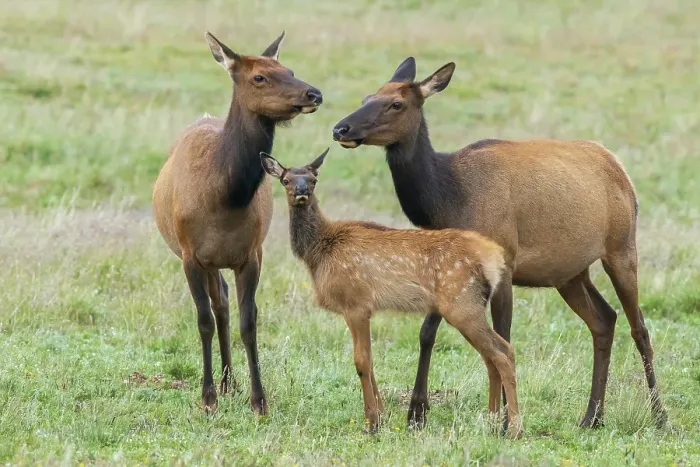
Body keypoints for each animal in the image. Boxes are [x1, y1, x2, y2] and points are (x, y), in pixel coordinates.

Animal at [152, 31, 323, 414]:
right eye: (259, 77)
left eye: (289, 69)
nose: (314, 94)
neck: (223, 199)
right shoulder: (190, 255)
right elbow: (202, 320)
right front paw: (207, 398)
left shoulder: (252, 254)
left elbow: (249, 321)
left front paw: (259, 400)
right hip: (202, 258)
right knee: (218, 306)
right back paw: (223, 384)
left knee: (225, 303)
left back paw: (231, 381)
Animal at [260, 148, 523, 437]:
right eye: (285, 180)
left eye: (313, 178)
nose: (302, 191)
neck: (319, 253)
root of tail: (493, 257)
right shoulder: (359, 309)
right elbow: (371, 362)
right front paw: (382, 416)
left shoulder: (356, 303)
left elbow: (361, 361)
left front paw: (371, 422)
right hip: (469, 305)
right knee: (491, 357)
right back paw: (492, 421)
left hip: (462, 303)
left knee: (503, 352)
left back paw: (514, 428)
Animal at [331, 57, 667, 431]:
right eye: (366, 97)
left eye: (396, 103)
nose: (341, 129)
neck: (448, 199)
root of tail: (619, 167)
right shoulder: (445, 266)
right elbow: (427, 332)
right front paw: (417, 412)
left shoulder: (504, 260)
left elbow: (502, 334)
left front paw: (506, 419)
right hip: (570, 273)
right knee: (604, 320)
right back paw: (592, 416)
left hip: (622, 248)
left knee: (640, 328)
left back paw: (659, 416)